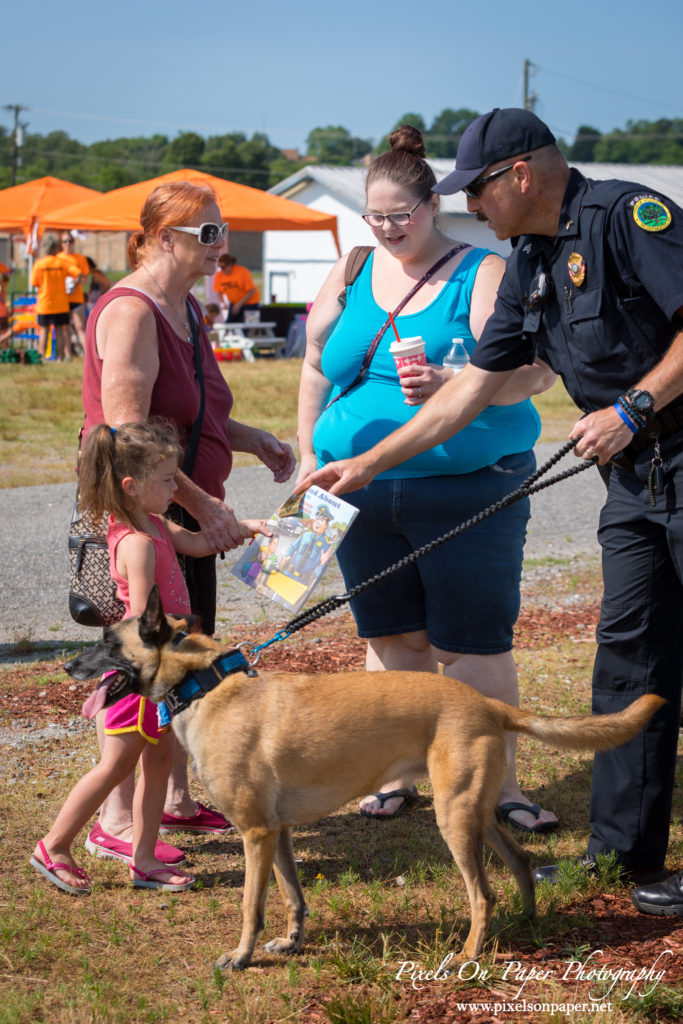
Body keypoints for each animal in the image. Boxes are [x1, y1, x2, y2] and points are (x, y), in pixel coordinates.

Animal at [66, 589, 663, 970]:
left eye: (107, 641)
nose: (69, 668)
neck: (205, 683)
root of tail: (487, 704)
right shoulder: (278, 834)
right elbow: (293, 896)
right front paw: (291, 943)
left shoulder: (255, 834)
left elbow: (250, 907)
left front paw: (242, 956)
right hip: (476, 814)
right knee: (520, 864)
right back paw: (527, 925)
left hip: (455, 821)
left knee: (483, 894)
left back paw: (470, 955)